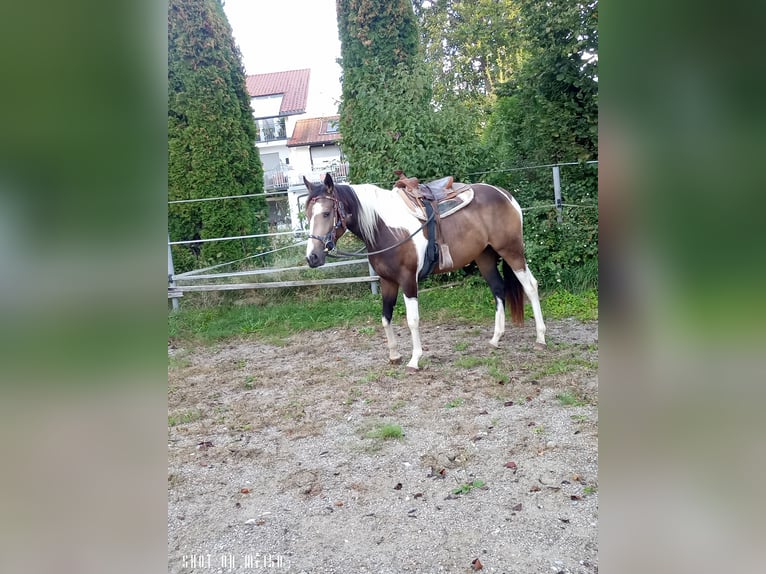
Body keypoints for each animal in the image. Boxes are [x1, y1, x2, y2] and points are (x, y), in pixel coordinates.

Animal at [304, 173, 548, 372]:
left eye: (326, 213)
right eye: (307, 214)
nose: (312, 257)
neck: (385, 228)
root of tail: (506, 195)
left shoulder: (408, 280)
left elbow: (412, 320)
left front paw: (414, 360)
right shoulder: (387, 281)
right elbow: (385, 318)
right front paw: (394, 355)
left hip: (511, 251)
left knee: (530, 286)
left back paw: (540, 337)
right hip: (485, 257)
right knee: (498, 289)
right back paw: (496, 339)